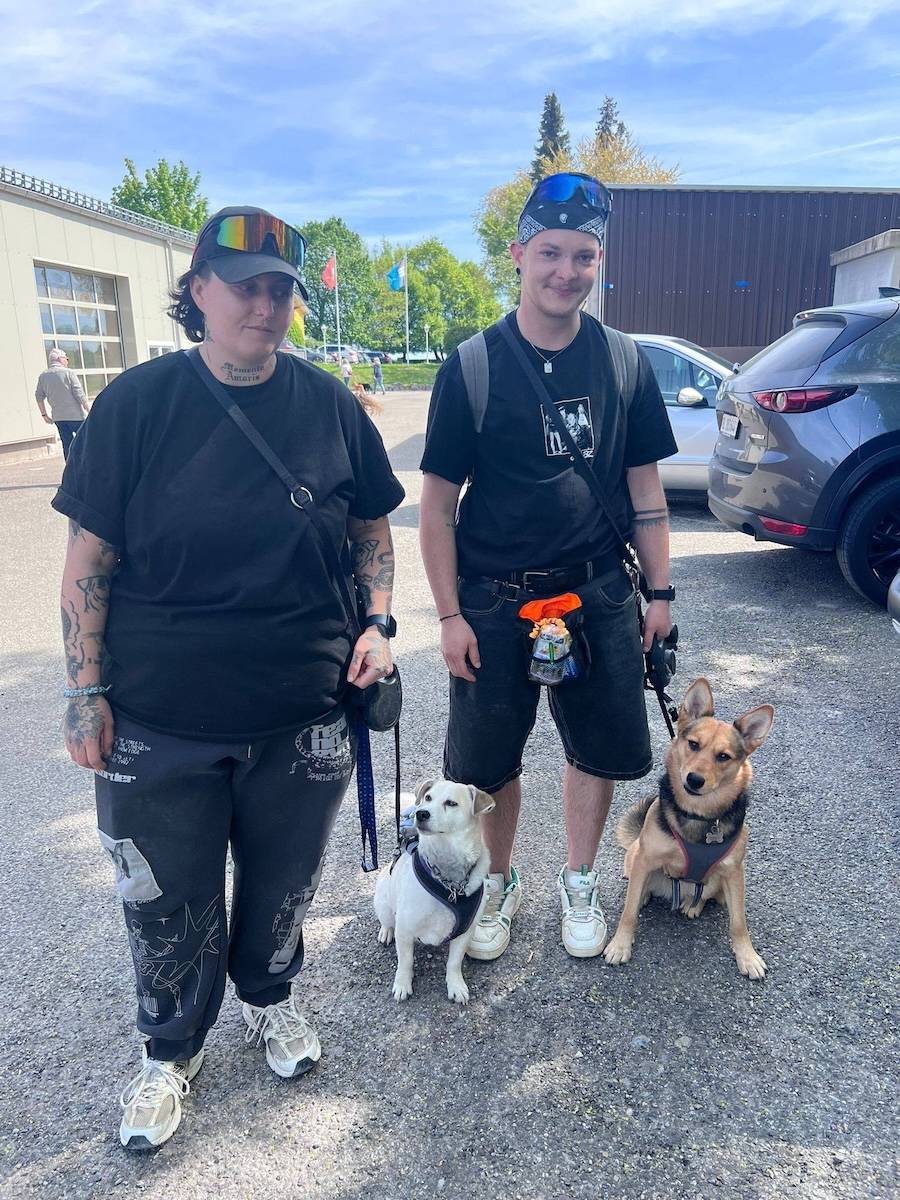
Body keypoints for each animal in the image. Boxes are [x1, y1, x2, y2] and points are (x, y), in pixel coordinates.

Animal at [374, 778, 495, 1004]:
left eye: (451, 803)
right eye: (428, 797)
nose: (421, 813)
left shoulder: (465, 931)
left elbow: (454, 962)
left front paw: (455, 986)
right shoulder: (405, 927)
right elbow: (405, 961)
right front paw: (402, 984)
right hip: (383, 903)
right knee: (386, 921)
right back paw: (386, 931)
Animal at [603, 677, 774, 979]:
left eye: (723, 756)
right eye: (693, 744)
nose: (694, 780)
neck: (699, 815)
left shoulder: (734, 871)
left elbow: (739, 923)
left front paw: (747, 956)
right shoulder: (645, 858)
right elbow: (628, 913)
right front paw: (620, 945)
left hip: (718, 884)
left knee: (705, 895)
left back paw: (692, 905)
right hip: (635, 856)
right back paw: (646, 894)